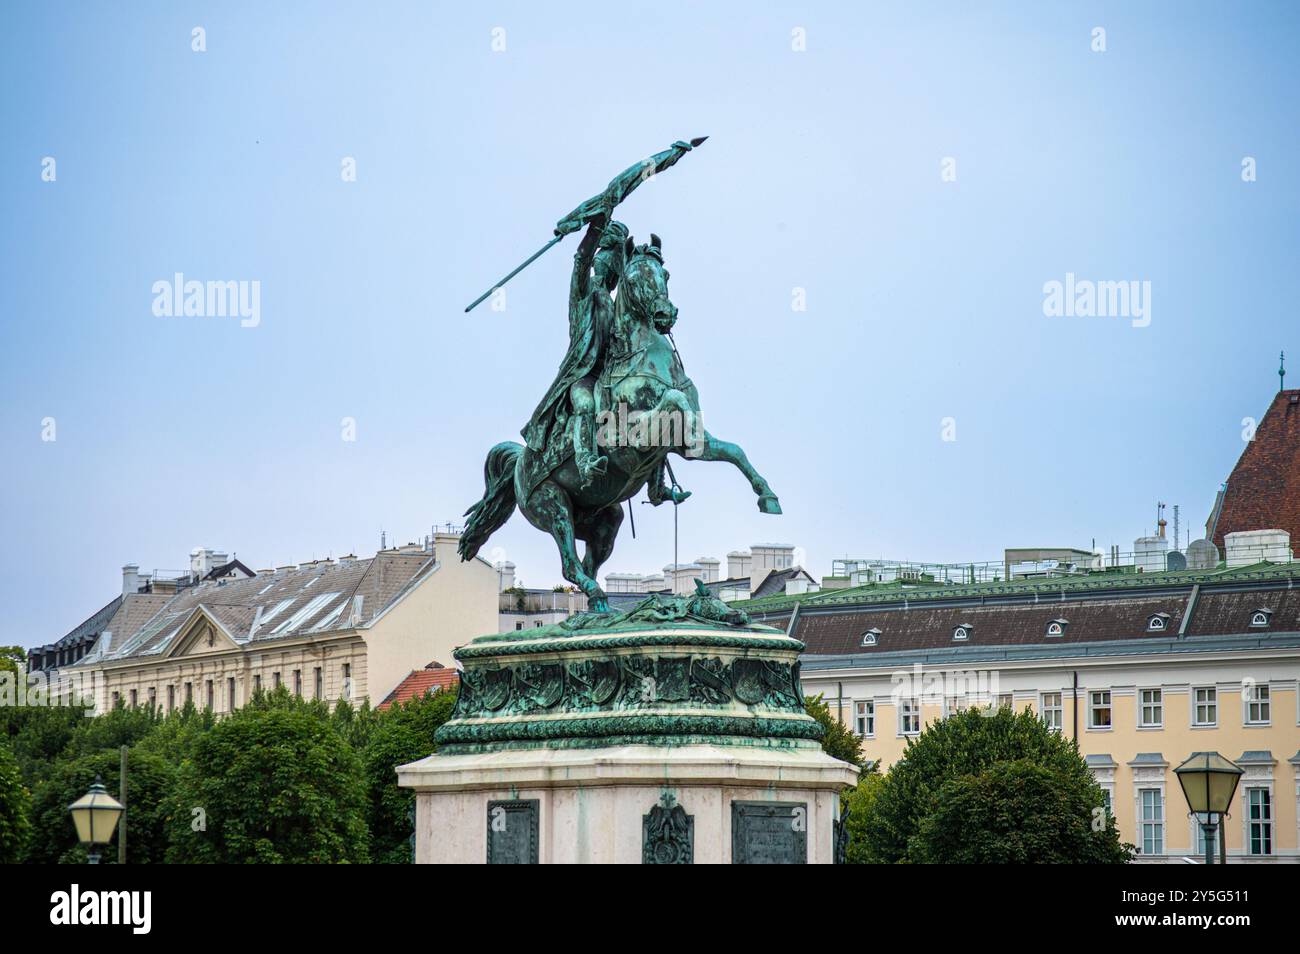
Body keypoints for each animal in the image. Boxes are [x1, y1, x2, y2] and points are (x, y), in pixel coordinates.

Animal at [460, 231, 780, 613]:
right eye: (633, 277)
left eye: (665, 274)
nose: (664, 314)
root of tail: (520, 463)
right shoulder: (630, 441)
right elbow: (675, 402)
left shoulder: (686, 443)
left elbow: (733, 450)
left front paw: (767, 496)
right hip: (552, 506)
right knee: (570, 564)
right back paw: (598, 596)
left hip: (604, 520)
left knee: (587, 563)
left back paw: (603, 607)